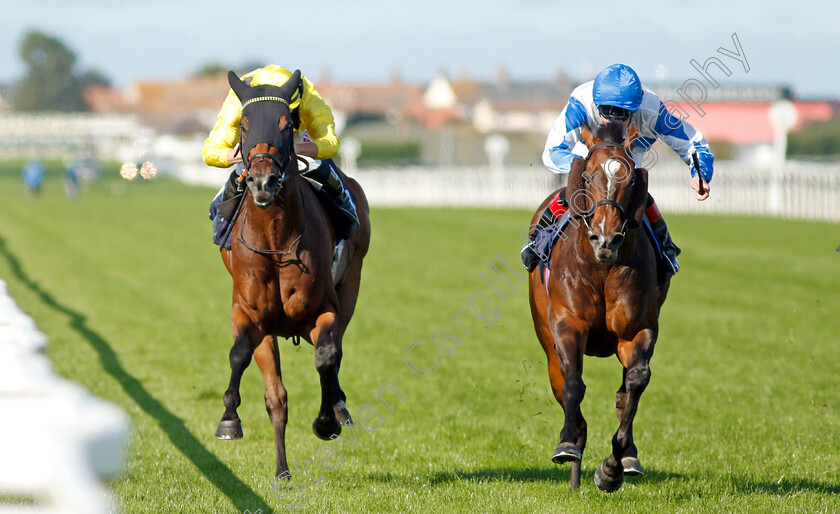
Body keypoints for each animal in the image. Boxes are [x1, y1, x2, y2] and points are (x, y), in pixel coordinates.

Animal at [215, 70, 370, 478]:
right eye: (244, 124)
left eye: (287, 125)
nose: (262, 182)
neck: (276, 241)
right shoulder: (249, 314)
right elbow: (241, 355)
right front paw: (229, 419)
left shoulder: (323, 310)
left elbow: (327, 356)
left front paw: (327, 421)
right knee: (277, 397)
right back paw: (282, 469)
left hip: (352, 285)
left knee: (336, 350)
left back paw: (337, 407)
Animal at [532, 121, 668, 492]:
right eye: (590, 175)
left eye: (631, 178)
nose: (606, 238)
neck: (602, 266)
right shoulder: (567, 324)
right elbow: (573, 383)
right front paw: (568, 442)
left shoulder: (638, 329)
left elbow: (635, 383)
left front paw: (613, 466)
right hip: (545, 338)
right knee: (561, 380)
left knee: (626, 390)